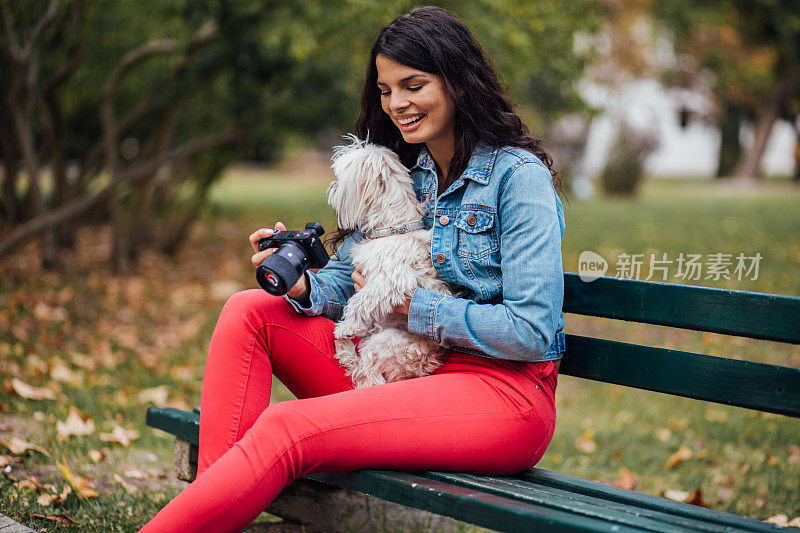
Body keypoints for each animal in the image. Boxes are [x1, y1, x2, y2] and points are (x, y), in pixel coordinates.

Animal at [328, 135, 456, 388]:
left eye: (341, 176)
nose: (332, 186)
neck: (394, 229)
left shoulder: (390, 282)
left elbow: (359, 301)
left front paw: (347, 327)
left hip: (383, 344)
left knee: (365, 376)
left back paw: (344, 346)